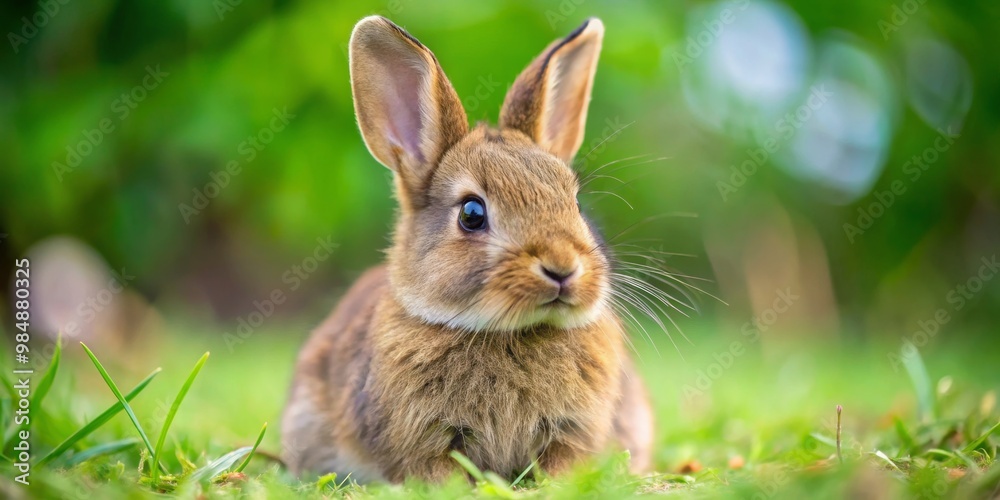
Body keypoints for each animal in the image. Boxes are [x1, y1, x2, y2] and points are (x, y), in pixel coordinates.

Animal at [281, 15, 654, 483]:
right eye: (472, 214)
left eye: (576, 203)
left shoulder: (573, 433)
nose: (562, 268)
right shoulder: (424, 442)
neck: (512, 332)